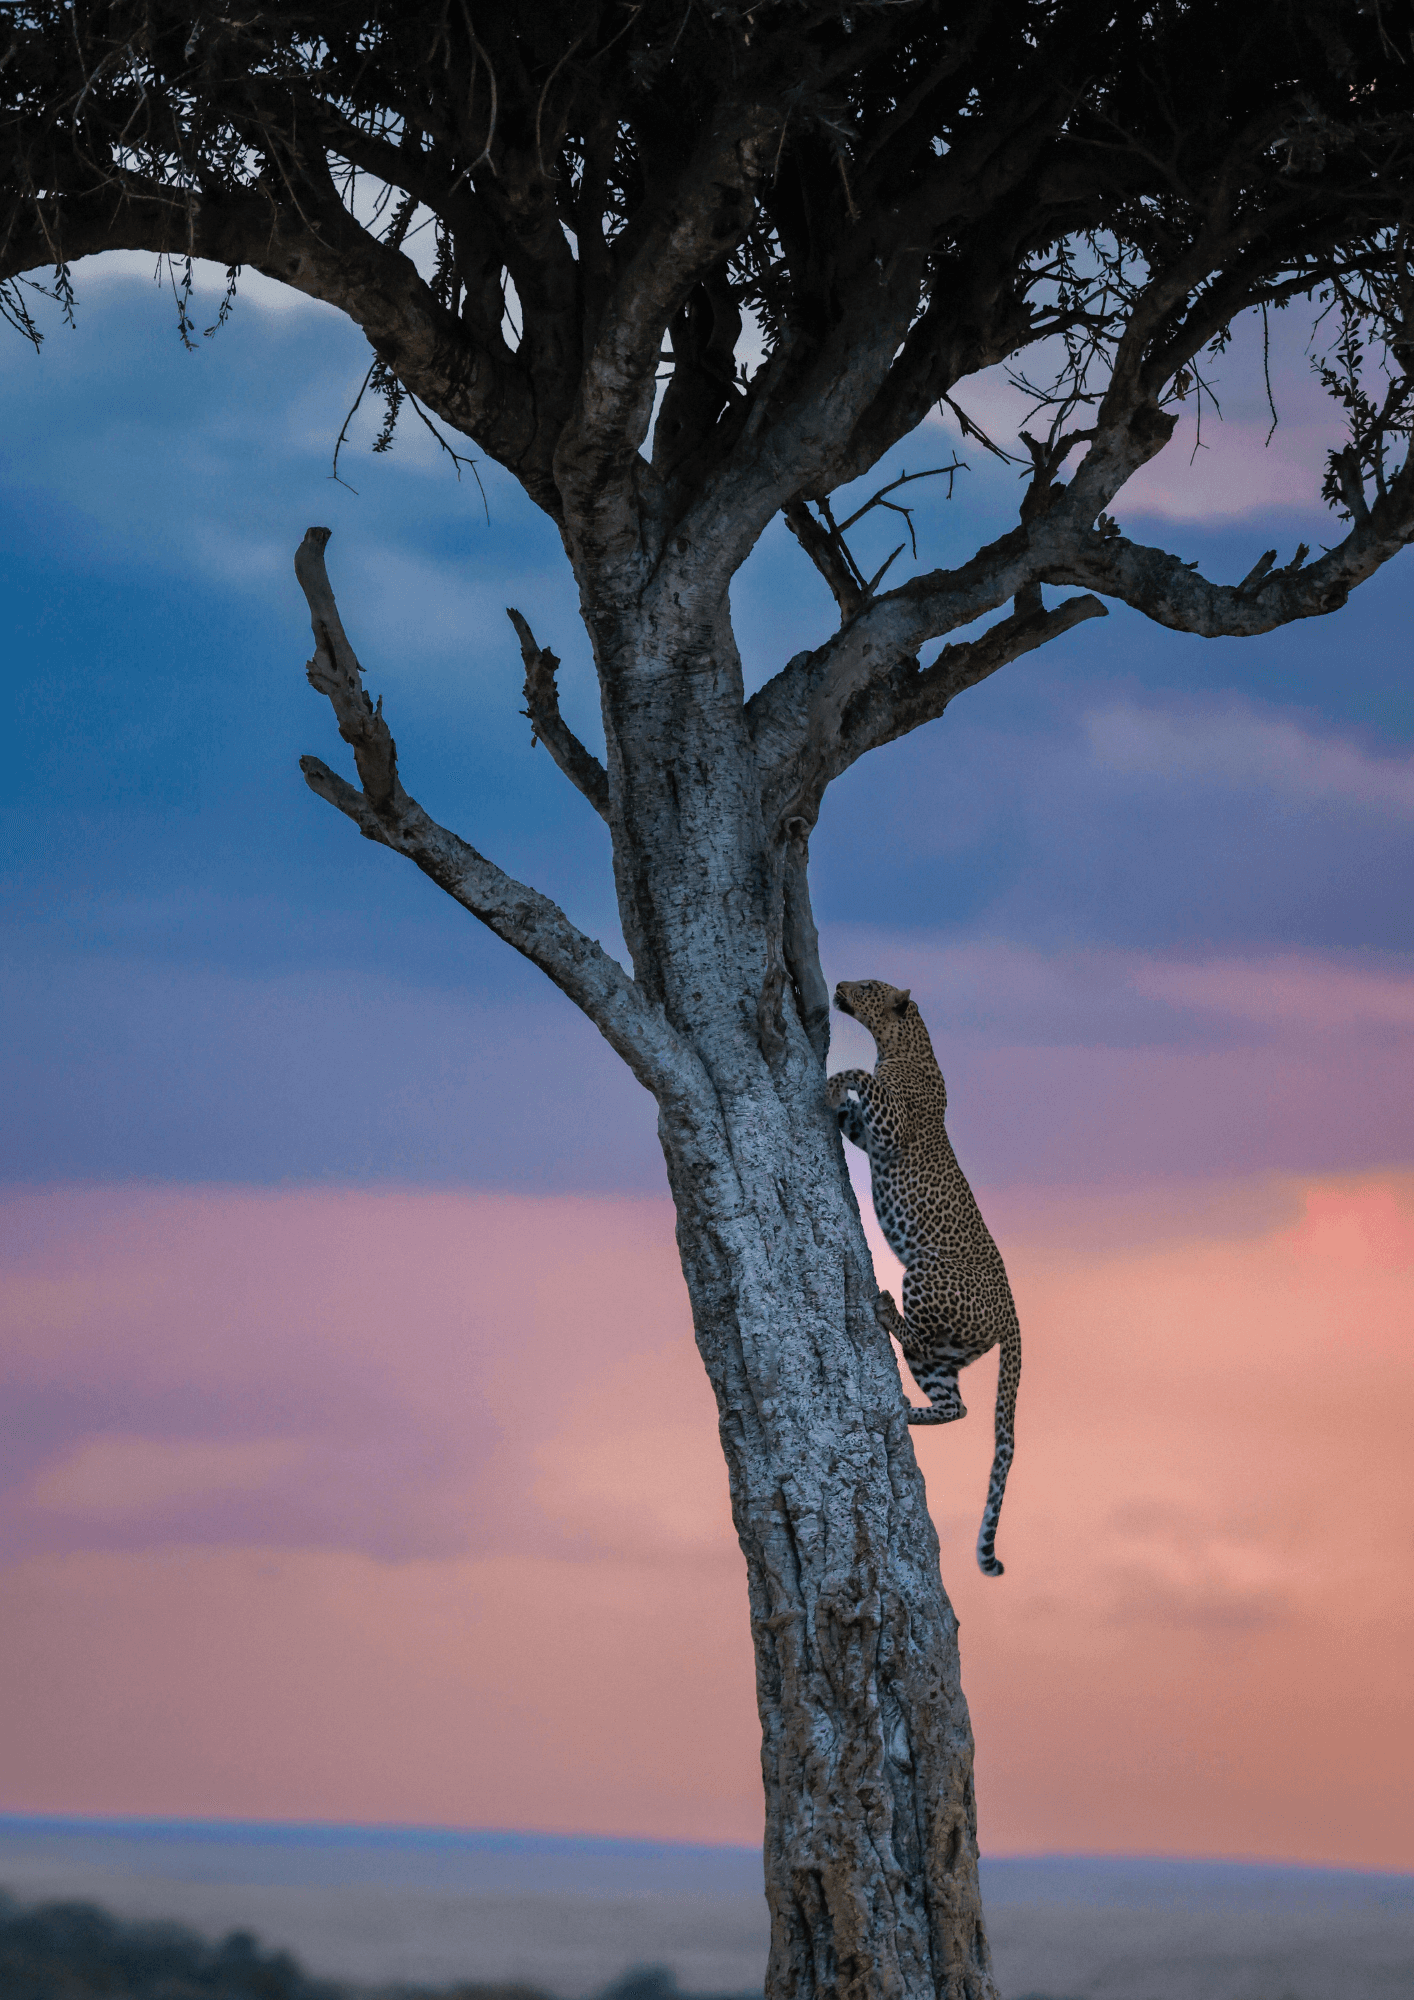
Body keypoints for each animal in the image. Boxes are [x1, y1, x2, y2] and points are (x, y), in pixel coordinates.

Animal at [826, 978, 1021, 1577]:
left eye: (868, 986)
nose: (838, 985)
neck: (901, 1042)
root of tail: (1014, 1312)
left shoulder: (891, 1125)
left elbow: (860, 1078)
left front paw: (832, 1082)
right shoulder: (870, 1133)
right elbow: (853, 1115)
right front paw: (834, 1097)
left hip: (926, 1272)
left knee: (917, 1334)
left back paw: (886, 1310)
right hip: (947, 1353)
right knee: (955, 1403)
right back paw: (906, 1413)